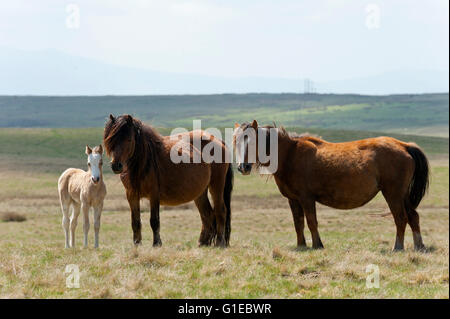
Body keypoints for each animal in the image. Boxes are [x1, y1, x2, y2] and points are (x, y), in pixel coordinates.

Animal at [104, 114, 234, 248]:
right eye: (110, 140)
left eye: (129, 139)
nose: (116, 166)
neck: (144, 160)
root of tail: (219, 141)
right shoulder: (131, 195)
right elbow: (135, 222)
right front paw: (137, 244)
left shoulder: (154, 194)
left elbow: (154, 221)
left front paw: (157, 243)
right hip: (200, 193)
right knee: (207, 215)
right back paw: (202, 243)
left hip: (216, 185)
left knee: (220, 211)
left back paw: (220, 243)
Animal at [236, 120, 428, 252]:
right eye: (236, 141)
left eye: (252, 142)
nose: (242, 167)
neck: (290, 155)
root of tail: (404, 145)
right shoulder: (293, 199)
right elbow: (298, 223)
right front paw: (301, 245)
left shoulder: (307, 198)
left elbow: (311, 221)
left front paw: (317, 245)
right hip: (402, 195)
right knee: (413, 216)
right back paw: (419, 246)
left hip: (393, 194)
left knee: (401, 218)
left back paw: (398, 247)